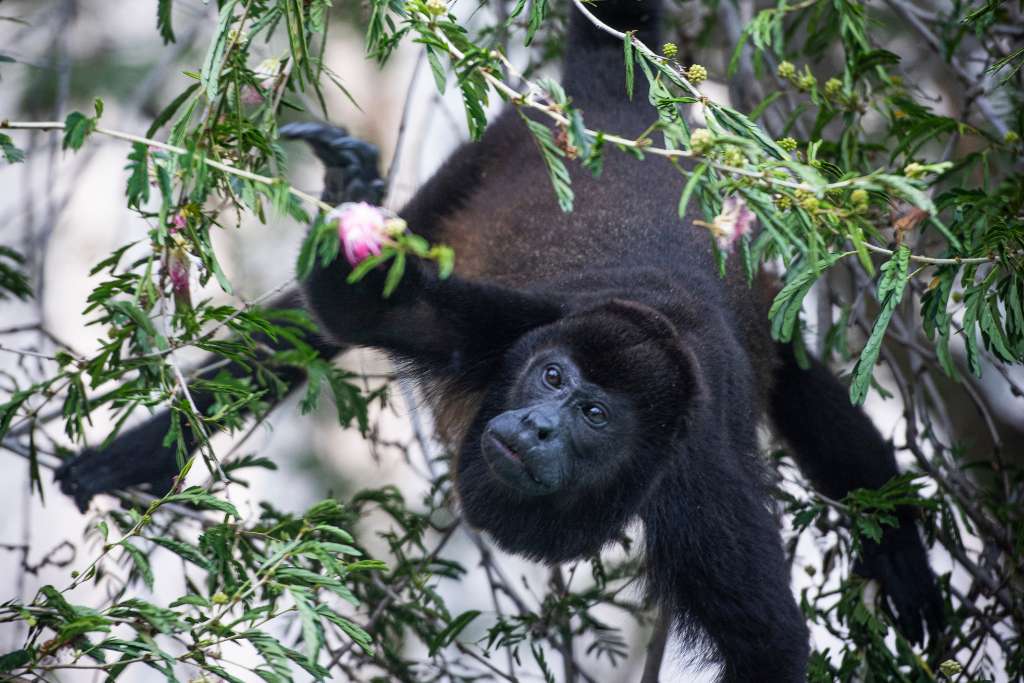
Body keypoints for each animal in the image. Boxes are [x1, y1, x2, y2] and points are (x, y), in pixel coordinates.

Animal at [56, 0, 944, 679]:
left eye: (593, 413)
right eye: (550, 378)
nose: (543, 424)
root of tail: (623, 115)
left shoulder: (700, 487)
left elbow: (769, 644)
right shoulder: (503, 325)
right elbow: (360, 312)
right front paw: (349, 192)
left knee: (802, 381)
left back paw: (903, 552)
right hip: (486, 157)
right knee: (304, 332)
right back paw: (134, 457)